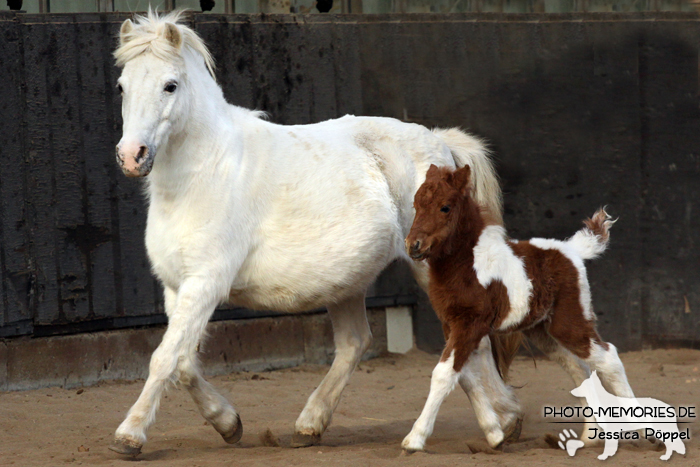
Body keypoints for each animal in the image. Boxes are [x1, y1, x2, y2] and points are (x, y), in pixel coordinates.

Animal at [109, 10, 524, 458]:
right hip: (346, 282)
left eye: (170, 85)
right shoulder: (178, 287)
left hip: (428, 267)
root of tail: (441, 147)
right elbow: (184, 362)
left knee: (470, 341)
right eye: (122, 86)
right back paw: (312, 425)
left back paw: (502, 421)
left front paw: (129, 435)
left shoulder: (205, 283)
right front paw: (228, 423)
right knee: (356, 342)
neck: (203, 175)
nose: (132, 156)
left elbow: (164, 359)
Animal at [400, 165, 636, 454]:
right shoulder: (452, 325)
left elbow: (444, 374)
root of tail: (571, 250)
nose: (413, 245)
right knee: (579, 368)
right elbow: (465, 375)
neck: (468, 264)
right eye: (416, 205)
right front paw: (494, 434)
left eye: (445, 207)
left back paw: (649, 433)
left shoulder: (469, 324)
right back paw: (589, 436)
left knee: (608, 358)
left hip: (570, 321)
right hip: (542, 332)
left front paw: (415, 439)